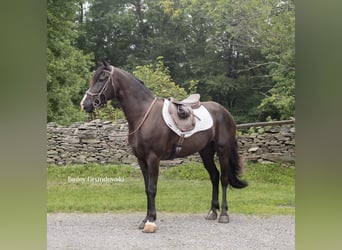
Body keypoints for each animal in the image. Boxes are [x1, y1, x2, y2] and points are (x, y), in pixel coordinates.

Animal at [81, 61, 247, 232]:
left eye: (101, 79)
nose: (84, 104)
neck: (144, 114)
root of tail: (225, 112)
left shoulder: (153, 158)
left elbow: (152, 188)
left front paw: (151, 221)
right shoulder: (141, 160)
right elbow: (147, 188)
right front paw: (145, 219)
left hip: (223, 151)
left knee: (223, 179)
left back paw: (224, 214)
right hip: (205, 152)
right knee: (214, 176)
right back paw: (212, 211)